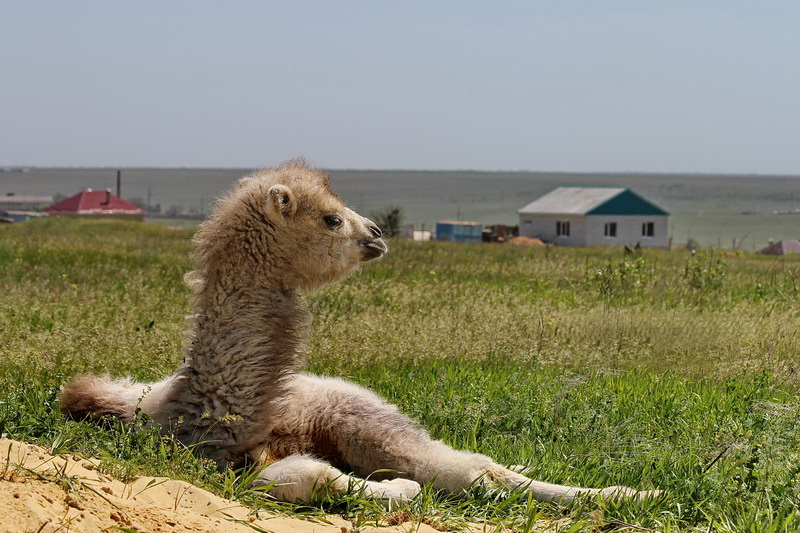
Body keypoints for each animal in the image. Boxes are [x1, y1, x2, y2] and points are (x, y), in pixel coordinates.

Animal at [61, 161, 656, 508]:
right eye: (330, 218)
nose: (377, 233)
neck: (206, 404)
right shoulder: (227, 460)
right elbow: (307, 478)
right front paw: (394, 489)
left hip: (361, 415)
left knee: (474, 466)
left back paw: (633, 492)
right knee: (474, 467)